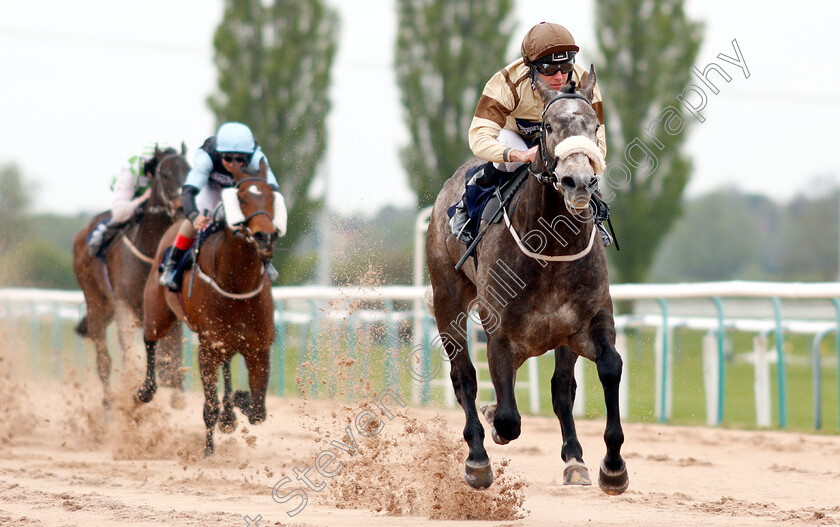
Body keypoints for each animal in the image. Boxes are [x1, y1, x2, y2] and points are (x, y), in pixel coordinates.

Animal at [72, 146, 189, 410]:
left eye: (189, 171)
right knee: (103, 362)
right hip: (96, 302)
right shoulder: (124, 306)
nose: (182, 208)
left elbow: (172, 367)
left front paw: (174, 391)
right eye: (165, 173)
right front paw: (136, 391)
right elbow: (127, 358)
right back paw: (109, 404)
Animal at [136, 159, 280, 456]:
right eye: (241, 197)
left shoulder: (259, 347)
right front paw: (208, 452)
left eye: (272, 196)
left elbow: (258, 411)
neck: (236, 283)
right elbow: (209, 407)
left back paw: (229, 414)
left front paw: (237, 401)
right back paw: (146, 390)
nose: (265, 237)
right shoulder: (208, 347)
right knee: (150, 339)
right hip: (158, 312)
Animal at [430, 68, 628, 498]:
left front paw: (612, 467)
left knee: (561, 388)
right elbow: (506, 417)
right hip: (446, 299)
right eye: (549, 126)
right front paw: (490, 425)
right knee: (464, 378)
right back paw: (477, 456)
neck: (551, 245)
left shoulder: (588, 322)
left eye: (595, 126)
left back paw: (574, 460)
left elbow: (608, 367)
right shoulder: (501, 334)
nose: (578, 182)